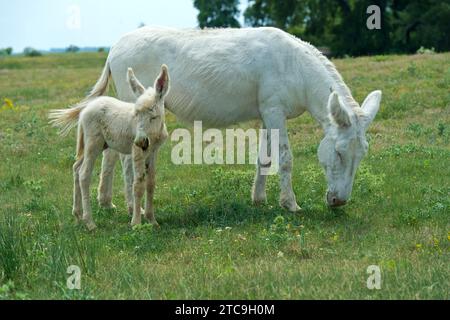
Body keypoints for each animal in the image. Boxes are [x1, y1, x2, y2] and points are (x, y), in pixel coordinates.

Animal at [49, 65, 169, 230]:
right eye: (136, 114)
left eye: (154, 117)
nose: (140, 141)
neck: (154, 135)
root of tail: (86, 108)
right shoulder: (137, 152)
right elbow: (138, 184)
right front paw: (136, 223)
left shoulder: (153, 152)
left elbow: (151, 183)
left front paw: (152, 220)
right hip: (93, 143)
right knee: (84, 174)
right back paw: (90, 223)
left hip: (97, 145)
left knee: (76, 168)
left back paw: (78, 214)